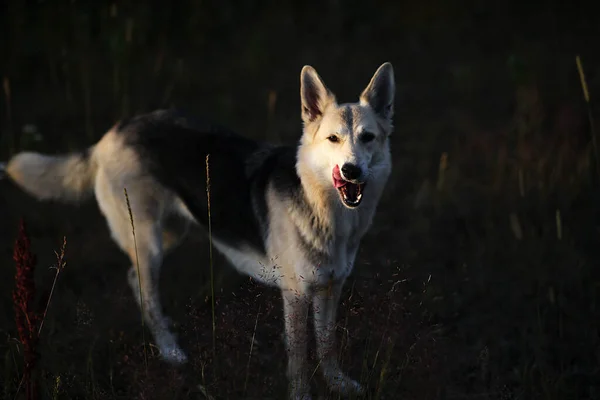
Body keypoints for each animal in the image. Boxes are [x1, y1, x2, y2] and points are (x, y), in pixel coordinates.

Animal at [2, 61, 396, 396]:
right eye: (333, 139)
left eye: (368, 138)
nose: (352, 171)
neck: (328, 213)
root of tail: (114, 132)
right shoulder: (296, 295)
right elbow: (299, 359)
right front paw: (301, 395)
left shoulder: (331, 287)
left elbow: (327, 345)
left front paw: (338, 384)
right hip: (149, 241)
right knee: (146, 291)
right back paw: (171, 352)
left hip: (171, 234)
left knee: (135, 280)